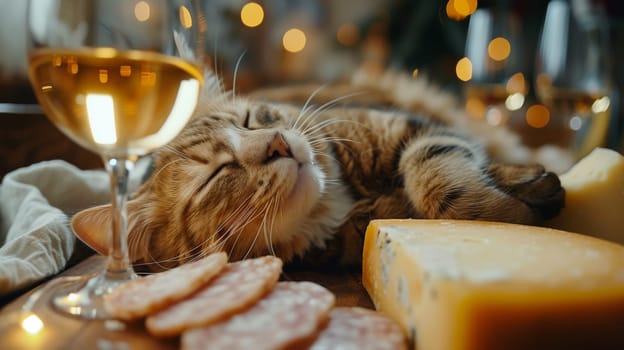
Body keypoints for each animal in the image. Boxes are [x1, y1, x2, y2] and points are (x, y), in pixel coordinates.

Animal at [72, 69, 564, 270]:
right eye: (218, 174)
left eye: (250, 120)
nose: (278, 144)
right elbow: (446, 191)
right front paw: (516, 214)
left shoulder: (411, 127)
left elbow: (438, 175)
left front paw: (519, 194)